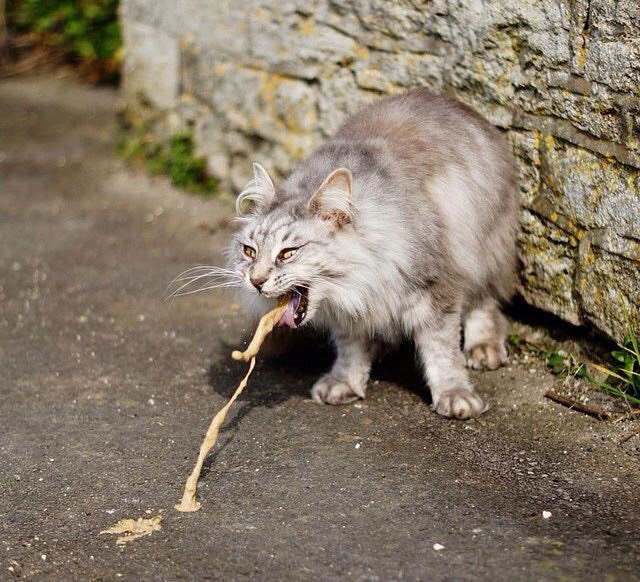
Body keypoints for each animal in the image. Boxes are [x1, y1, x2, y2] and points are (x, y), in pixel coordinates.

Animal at [228, 89, 516, 420]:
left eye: (288, 253)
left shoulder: (434, 286)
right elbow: (350, 349)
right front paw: (345, 382)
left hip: (485, 249)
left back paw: (483, 346)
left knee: (486, 302)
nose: (256, 281)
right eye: (249, 251)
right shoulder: (348, 309)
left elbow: (442, 350)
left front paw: (455, 395)